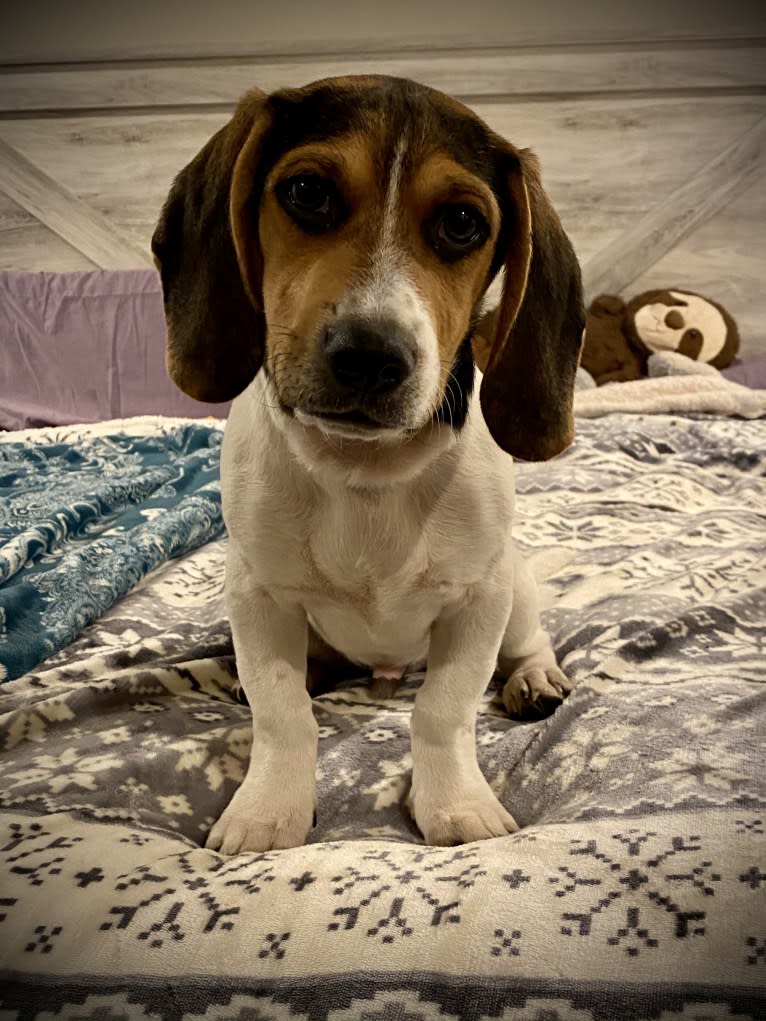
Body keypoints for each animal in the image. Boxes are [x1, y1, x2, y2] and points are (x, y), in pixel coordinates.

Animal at [153, 74, 584, 853]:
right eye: (307, 192)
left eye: (463, 223)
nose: (371, 355)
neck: (365, 467)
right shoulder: (258, 595)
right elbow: (281, 712)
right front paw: (267, 809)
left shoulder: (478, 600)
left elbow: (444, 709)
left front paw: (457, 805)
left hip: (515, 593)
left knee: (530, 642)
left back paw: (534, 679)